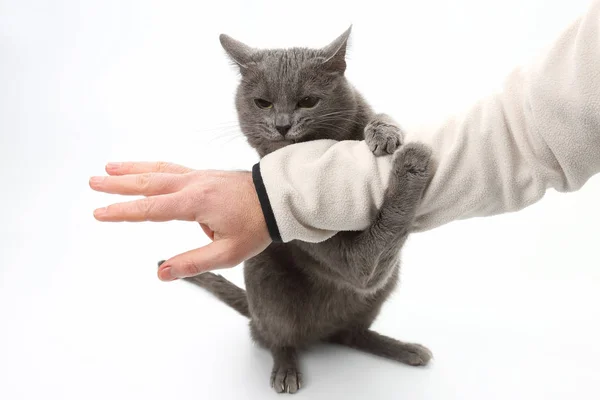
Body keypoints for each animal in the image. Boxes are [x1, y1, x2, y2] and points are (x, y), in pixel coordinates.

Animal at [164, 28, 434, 394]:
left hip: (385, 286)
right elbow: (374, 246)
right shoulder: (352, 263)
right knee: (276, 337)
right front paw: (412, 161)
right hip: (264, 278)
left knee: (352, 334)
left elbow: (376, 114)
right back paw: (286, 370)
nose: (282, 124)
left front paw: (385, 133)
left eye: (308, 101)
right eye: (262, 102)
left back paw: (404, 349)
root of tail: (321, 333)